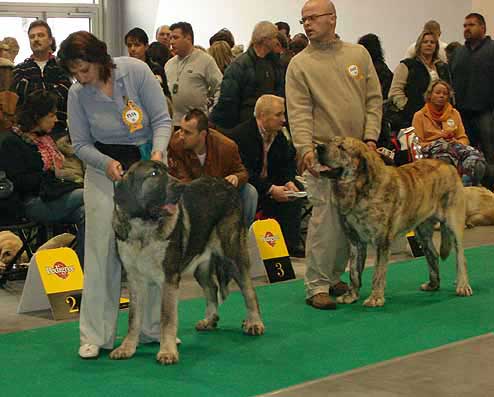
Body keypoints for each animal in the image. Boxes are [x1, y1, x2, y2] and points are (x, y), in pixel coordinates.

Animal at [108, 159, 262, 364]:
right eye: (154, 174)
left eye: (168, 171)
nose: (181, 186)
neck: (143, 227)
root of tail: (228, 184)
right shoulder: (135, 281)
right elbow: (134, 318)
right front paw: (127, 348)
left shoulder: (169, 278)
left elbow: (167, 318)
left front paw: (167, 352)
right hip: (201, 264)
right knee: (211, 288)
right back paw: (209, 320)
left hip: (233, 254)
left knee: (248, 290)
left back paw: (254, 323)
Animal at [314, 136, 472, 306]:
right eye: (329, 142)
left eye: (341, 147)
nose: (318, 147)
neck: (359, 190)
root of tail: (448, 165)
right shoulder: (356, 242)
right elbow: (354, 272)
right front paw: (351, 295)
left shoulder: (381, 241)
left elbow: (378, 272)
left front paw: (375, 298)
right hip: (422, 231)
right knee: (433, 254)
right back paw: (433, 284)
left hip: (453, 224)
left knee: (460, 258)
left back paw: (463, 286)